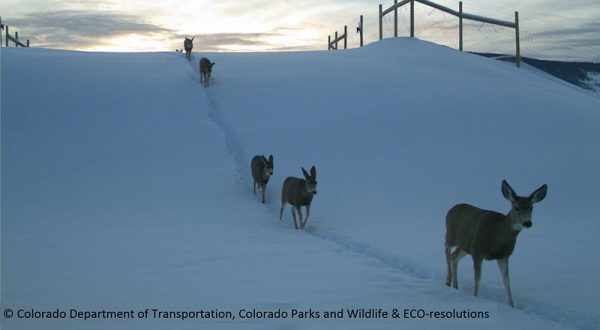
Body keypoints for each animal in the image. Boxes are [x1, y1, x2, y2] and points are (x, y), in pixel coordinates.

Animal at [446, 179, 548, 308]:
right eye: (517, 207)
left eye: (531, 207)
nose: (527, 223)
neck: (498, 236)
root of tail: (451, 209)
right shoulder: (477, 249)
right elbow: (478, 277)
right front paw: (475, 297)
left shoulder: (504, 255)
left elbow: (506, 281)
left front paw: (512, 306)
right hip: (450, 235)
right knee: (447, 250)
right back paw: (448, 281)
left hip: (464, 245)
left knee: (454, 256)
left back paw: (455, 286)